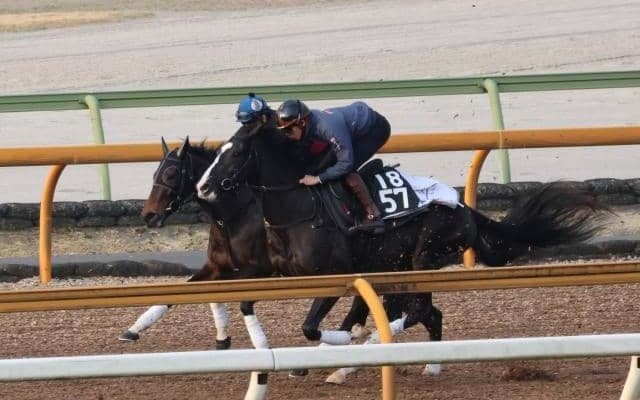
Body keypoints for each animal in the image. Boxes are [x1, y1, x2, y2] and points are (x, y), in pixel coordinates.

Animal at [195, 119, 609, 375]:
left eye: (235, 153)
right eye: (218, 151)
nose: (203, 186)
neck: (300, 210)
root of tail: (465, 209)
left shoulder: (334, 276)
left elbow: (312, 326)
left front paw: (346, 342)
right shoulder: (280, 273)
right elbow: (249, 301)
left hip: (425, 257)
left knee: (421, 308)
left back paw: (374, 345)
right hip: (398, 265)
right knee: (427, 312)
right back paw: (423, 362)